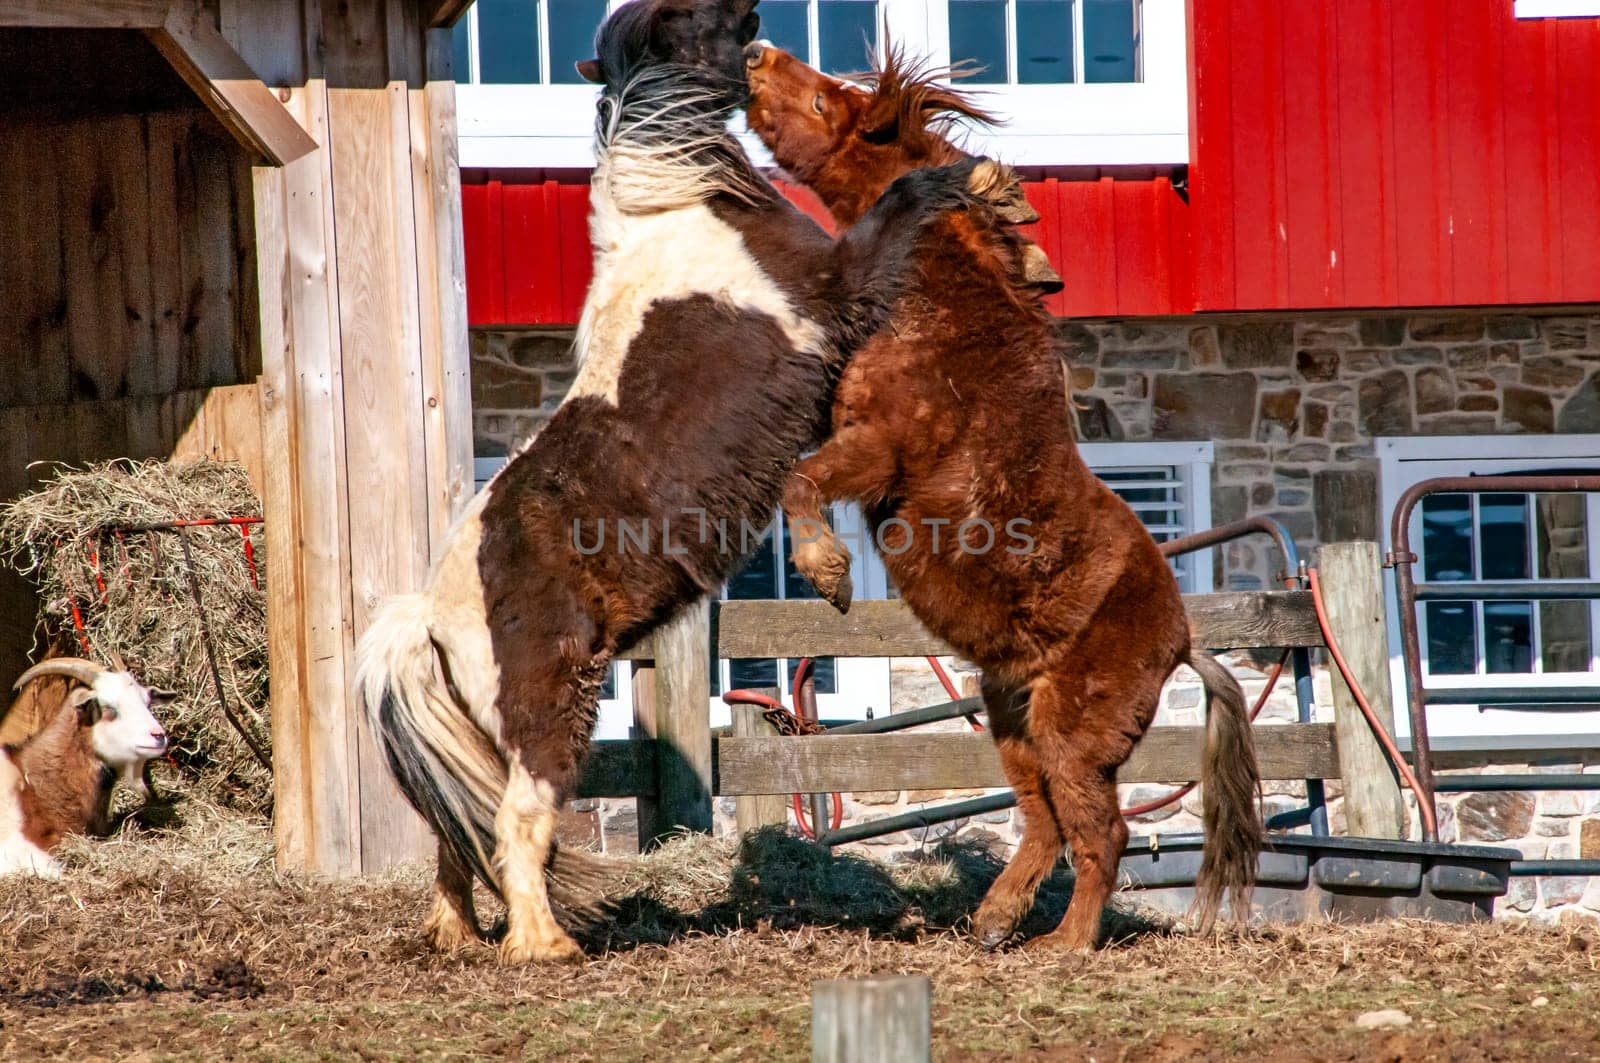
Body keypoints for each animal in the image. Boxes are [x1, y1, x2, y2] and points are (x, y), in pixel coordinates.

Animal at [356, 0, 992, 966]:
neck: (679, 211)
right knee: (514, 823)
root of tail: (430, 615)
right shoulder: (838, 285)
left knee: (453, 835)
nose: (757, 22)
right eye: (695, 20)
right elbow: (898, 210)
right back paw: (544, 945)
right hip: (548, 716)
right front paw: (960, 174)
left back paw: (458, 934)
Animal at [742, 45, 1267, 947]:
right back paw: (994, 918)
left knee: (1099, 829)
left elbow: (800, 480)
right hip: (1010, 717)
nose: (754, 55)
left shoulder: (879, 449)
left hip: (1068, 732)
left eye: (824, 98)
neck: (943, 308)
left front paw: (826, 571)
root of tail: (1183, 641)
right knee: (1045, 821)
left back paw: (1068, 940)